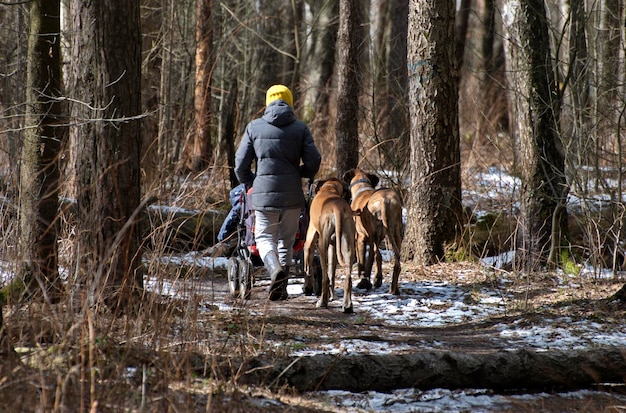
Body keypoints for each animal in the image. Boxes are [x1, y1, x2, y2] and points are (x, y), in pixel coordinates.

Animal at [302, 177, 356, 312]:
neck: (330, 187)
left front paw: (308, 285)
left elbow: (308, 261)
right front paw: (332, 297)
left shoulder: (311, 236)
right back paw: (347, 305)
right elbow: (332, 273)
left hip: (322, 244)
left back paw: (322, 302)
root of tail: (337, 207)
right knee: (347, 278)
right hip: (348, 245)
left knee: (324, 278)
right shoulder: (333, 246)